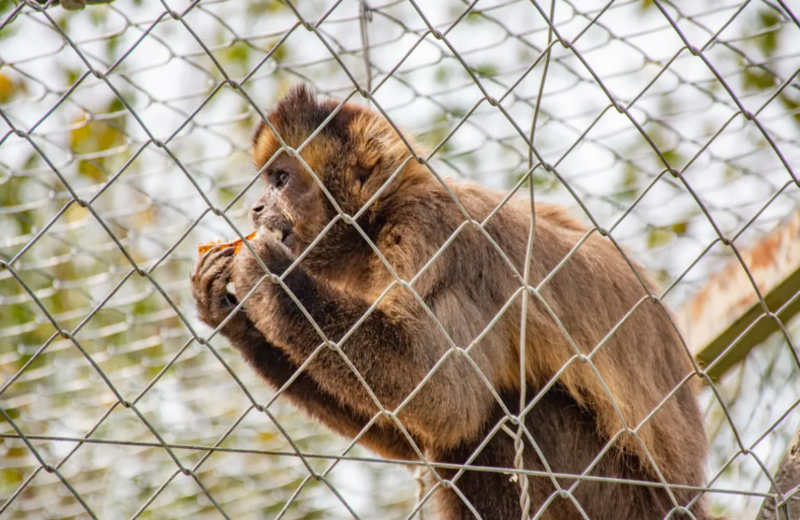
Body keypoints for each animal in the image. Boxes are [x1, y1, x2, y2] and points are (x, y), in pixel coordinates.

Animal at [190, 85, 712, 520]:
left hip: (619, 495)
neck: (377, 224)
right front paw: (232, 316)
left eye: (280, 179)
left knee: (497, 417)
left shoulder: (431, 231)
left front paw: (270, 278)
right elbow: (412, 430)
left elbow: (447, 398)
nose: (256, 208)